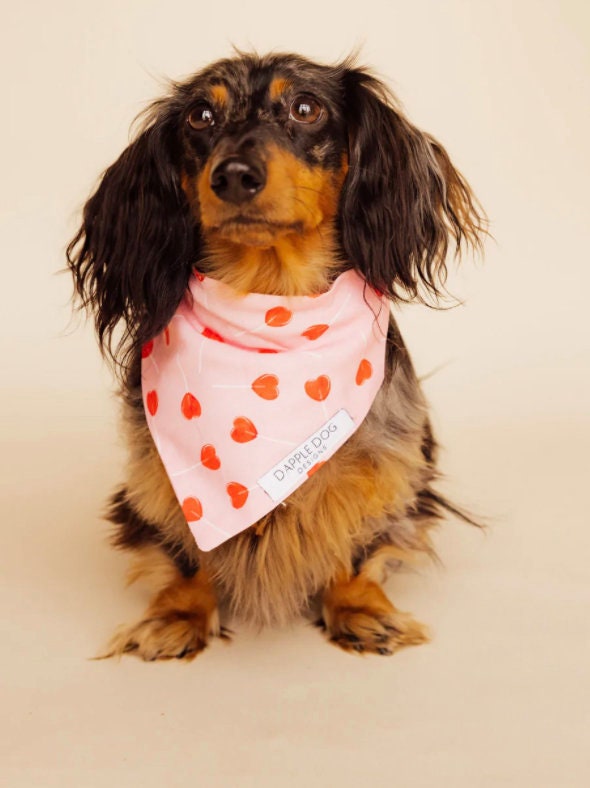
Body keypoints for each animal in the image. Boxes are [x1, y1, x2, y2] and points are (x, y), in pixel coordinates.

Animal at [67, 50, 488, 660]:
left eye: (305, 108)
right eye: (200, 116)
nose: (234, 175)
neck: (271, 309)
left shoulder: (387, 464)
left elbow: (358, 537)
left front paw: (359, 609)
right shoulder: (154, 473)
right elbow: (183, 550)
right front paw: (177, 615)